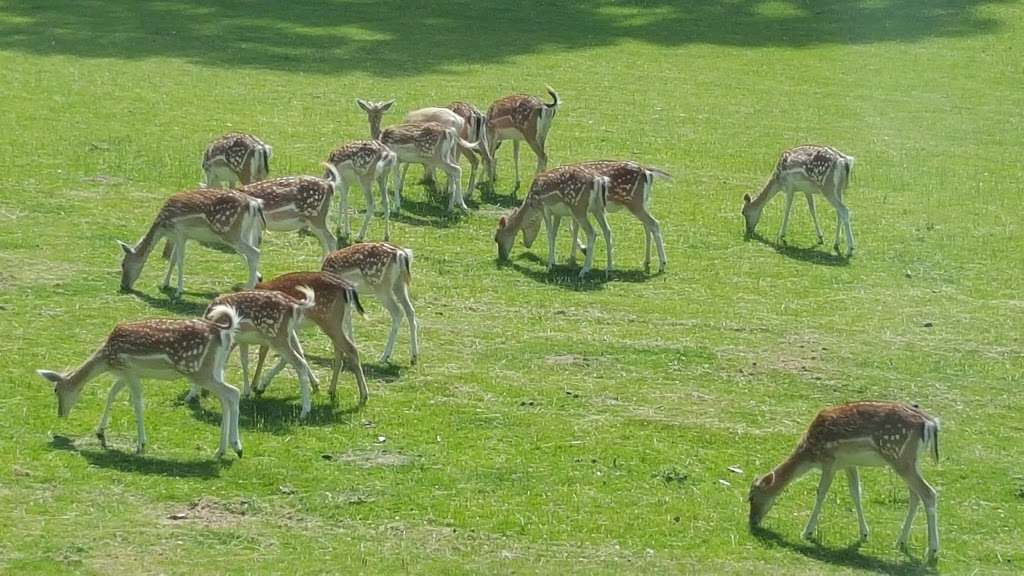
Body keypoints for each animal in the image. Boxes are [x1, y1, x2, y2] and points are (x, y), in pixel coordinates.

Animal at [36, 305, 245, 457]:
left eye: (56, 390)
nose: (60, 414)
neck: (107, 359)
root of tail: (223, 333)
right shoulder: (125, 374)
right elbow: (111, 394)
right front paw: (100, 431)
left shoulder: (128, 370)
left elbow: (136, 402)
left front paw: (141, 444)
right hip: (216, 368)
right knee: (226, 399)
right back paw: (225, 449)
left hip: (197, 370)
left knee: (233, 392)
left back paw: (233, 447)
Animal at [117, 187, 266, 297]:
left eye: (123, 264)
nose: (123, 285)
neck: (163, 227)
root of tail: (254, 204)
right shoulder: (181, 237)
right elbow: (172, 260)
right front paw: (164, 284)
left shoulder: (179, 232)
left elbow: (180, 261)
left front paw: (179, 291)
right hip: (245, 232)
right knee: (250, 254)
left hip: (228, 232)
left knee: (254, 252)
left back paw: (248, 288)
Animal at [250, 270, 370, 405]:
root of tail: (348, 289)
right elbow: (299, 351)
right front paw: (315, 384)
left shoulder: (270, 327)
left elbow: (263, 352)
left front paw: (255, 386)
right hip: (338, 322)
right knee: (340, 351)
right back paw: (332, 390)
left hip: (329, 320)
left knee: (351, 349)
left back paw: (363, 396)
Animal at [749, 399, 937, 561]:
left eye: (751, 497)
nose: (752, 522)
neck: (810, 454)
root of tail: (931, 423)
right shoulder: (849, 463)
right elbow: (856, 493)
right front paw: (864, 534)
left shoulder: (829, 460)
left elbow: (821, 493)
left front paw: (807, 533)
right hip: (911, 461)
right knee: (915, 495)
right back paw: (900, 542)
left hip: (898, 456)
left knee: (929, 493)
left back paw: (932, 551)